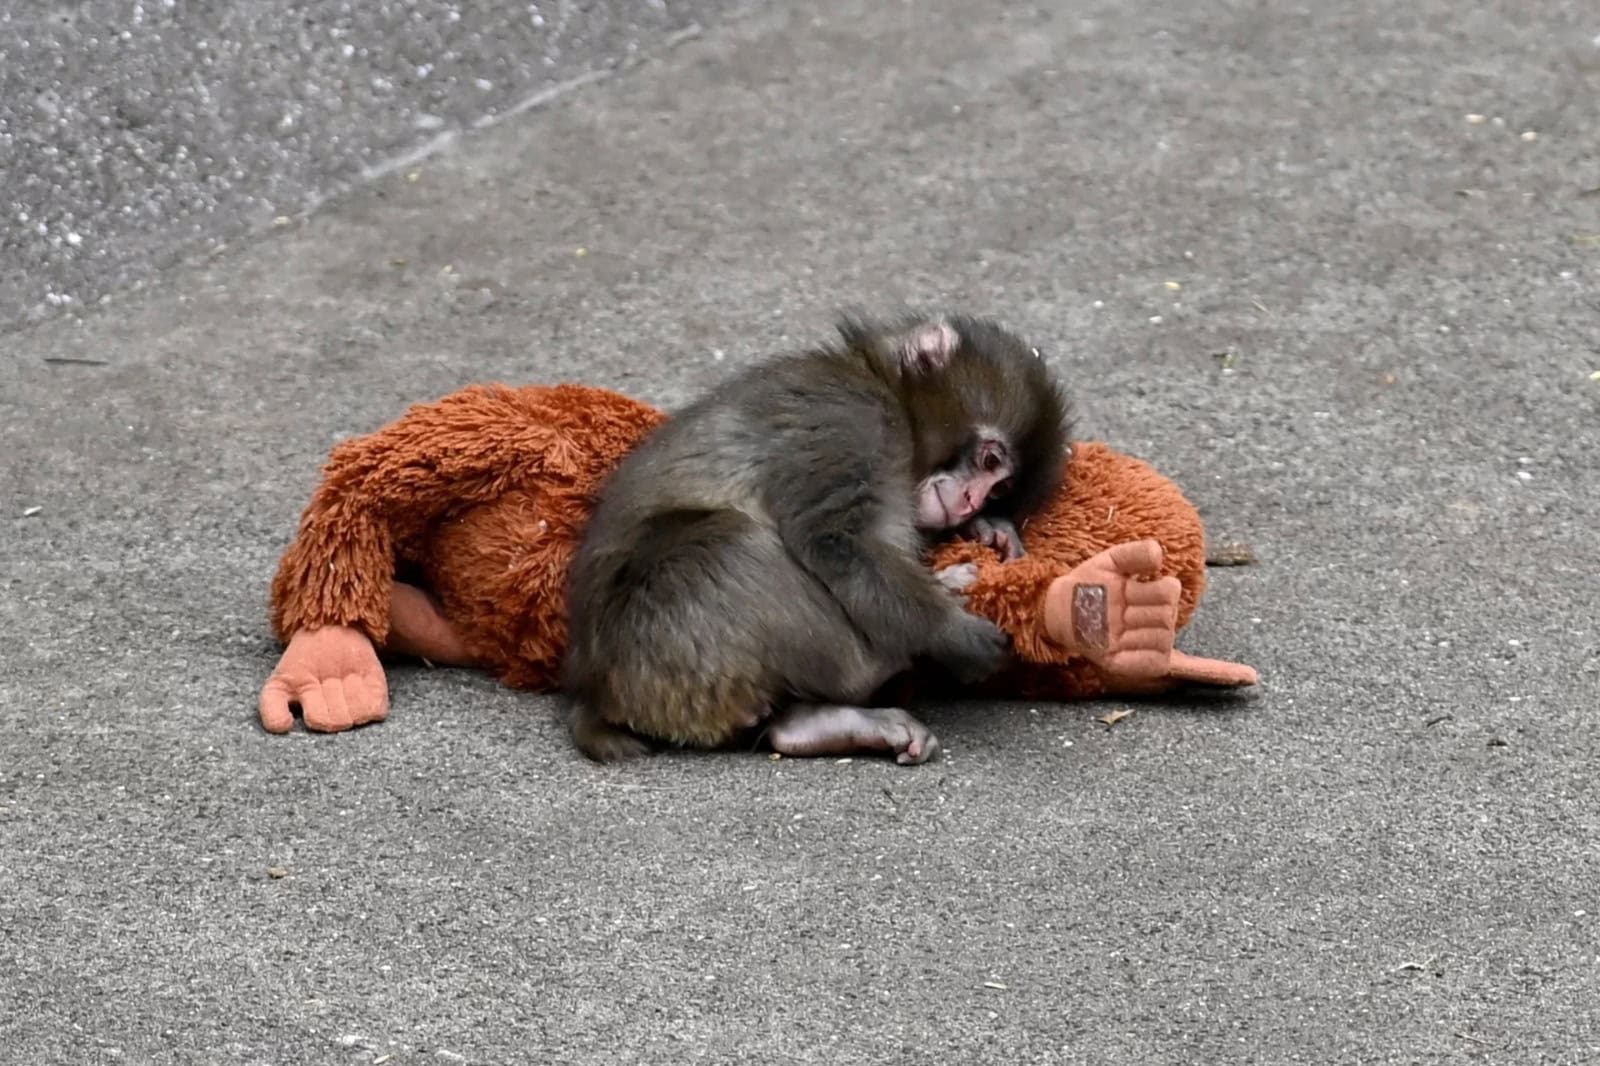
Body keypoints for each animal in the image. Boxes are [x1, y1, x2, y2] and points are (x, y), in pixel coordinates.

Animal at [561, 312, 1071, 765]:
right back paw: (884, 659)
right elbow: (836, 540)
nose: (970, 502)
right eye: (989, 461)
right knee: (731, 544)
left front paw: (988, 530)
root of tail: (595, 693)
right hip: (658, 644)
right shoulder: (851, 420)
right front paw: (951, 633)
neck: (887, 393)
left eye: (999, 489)